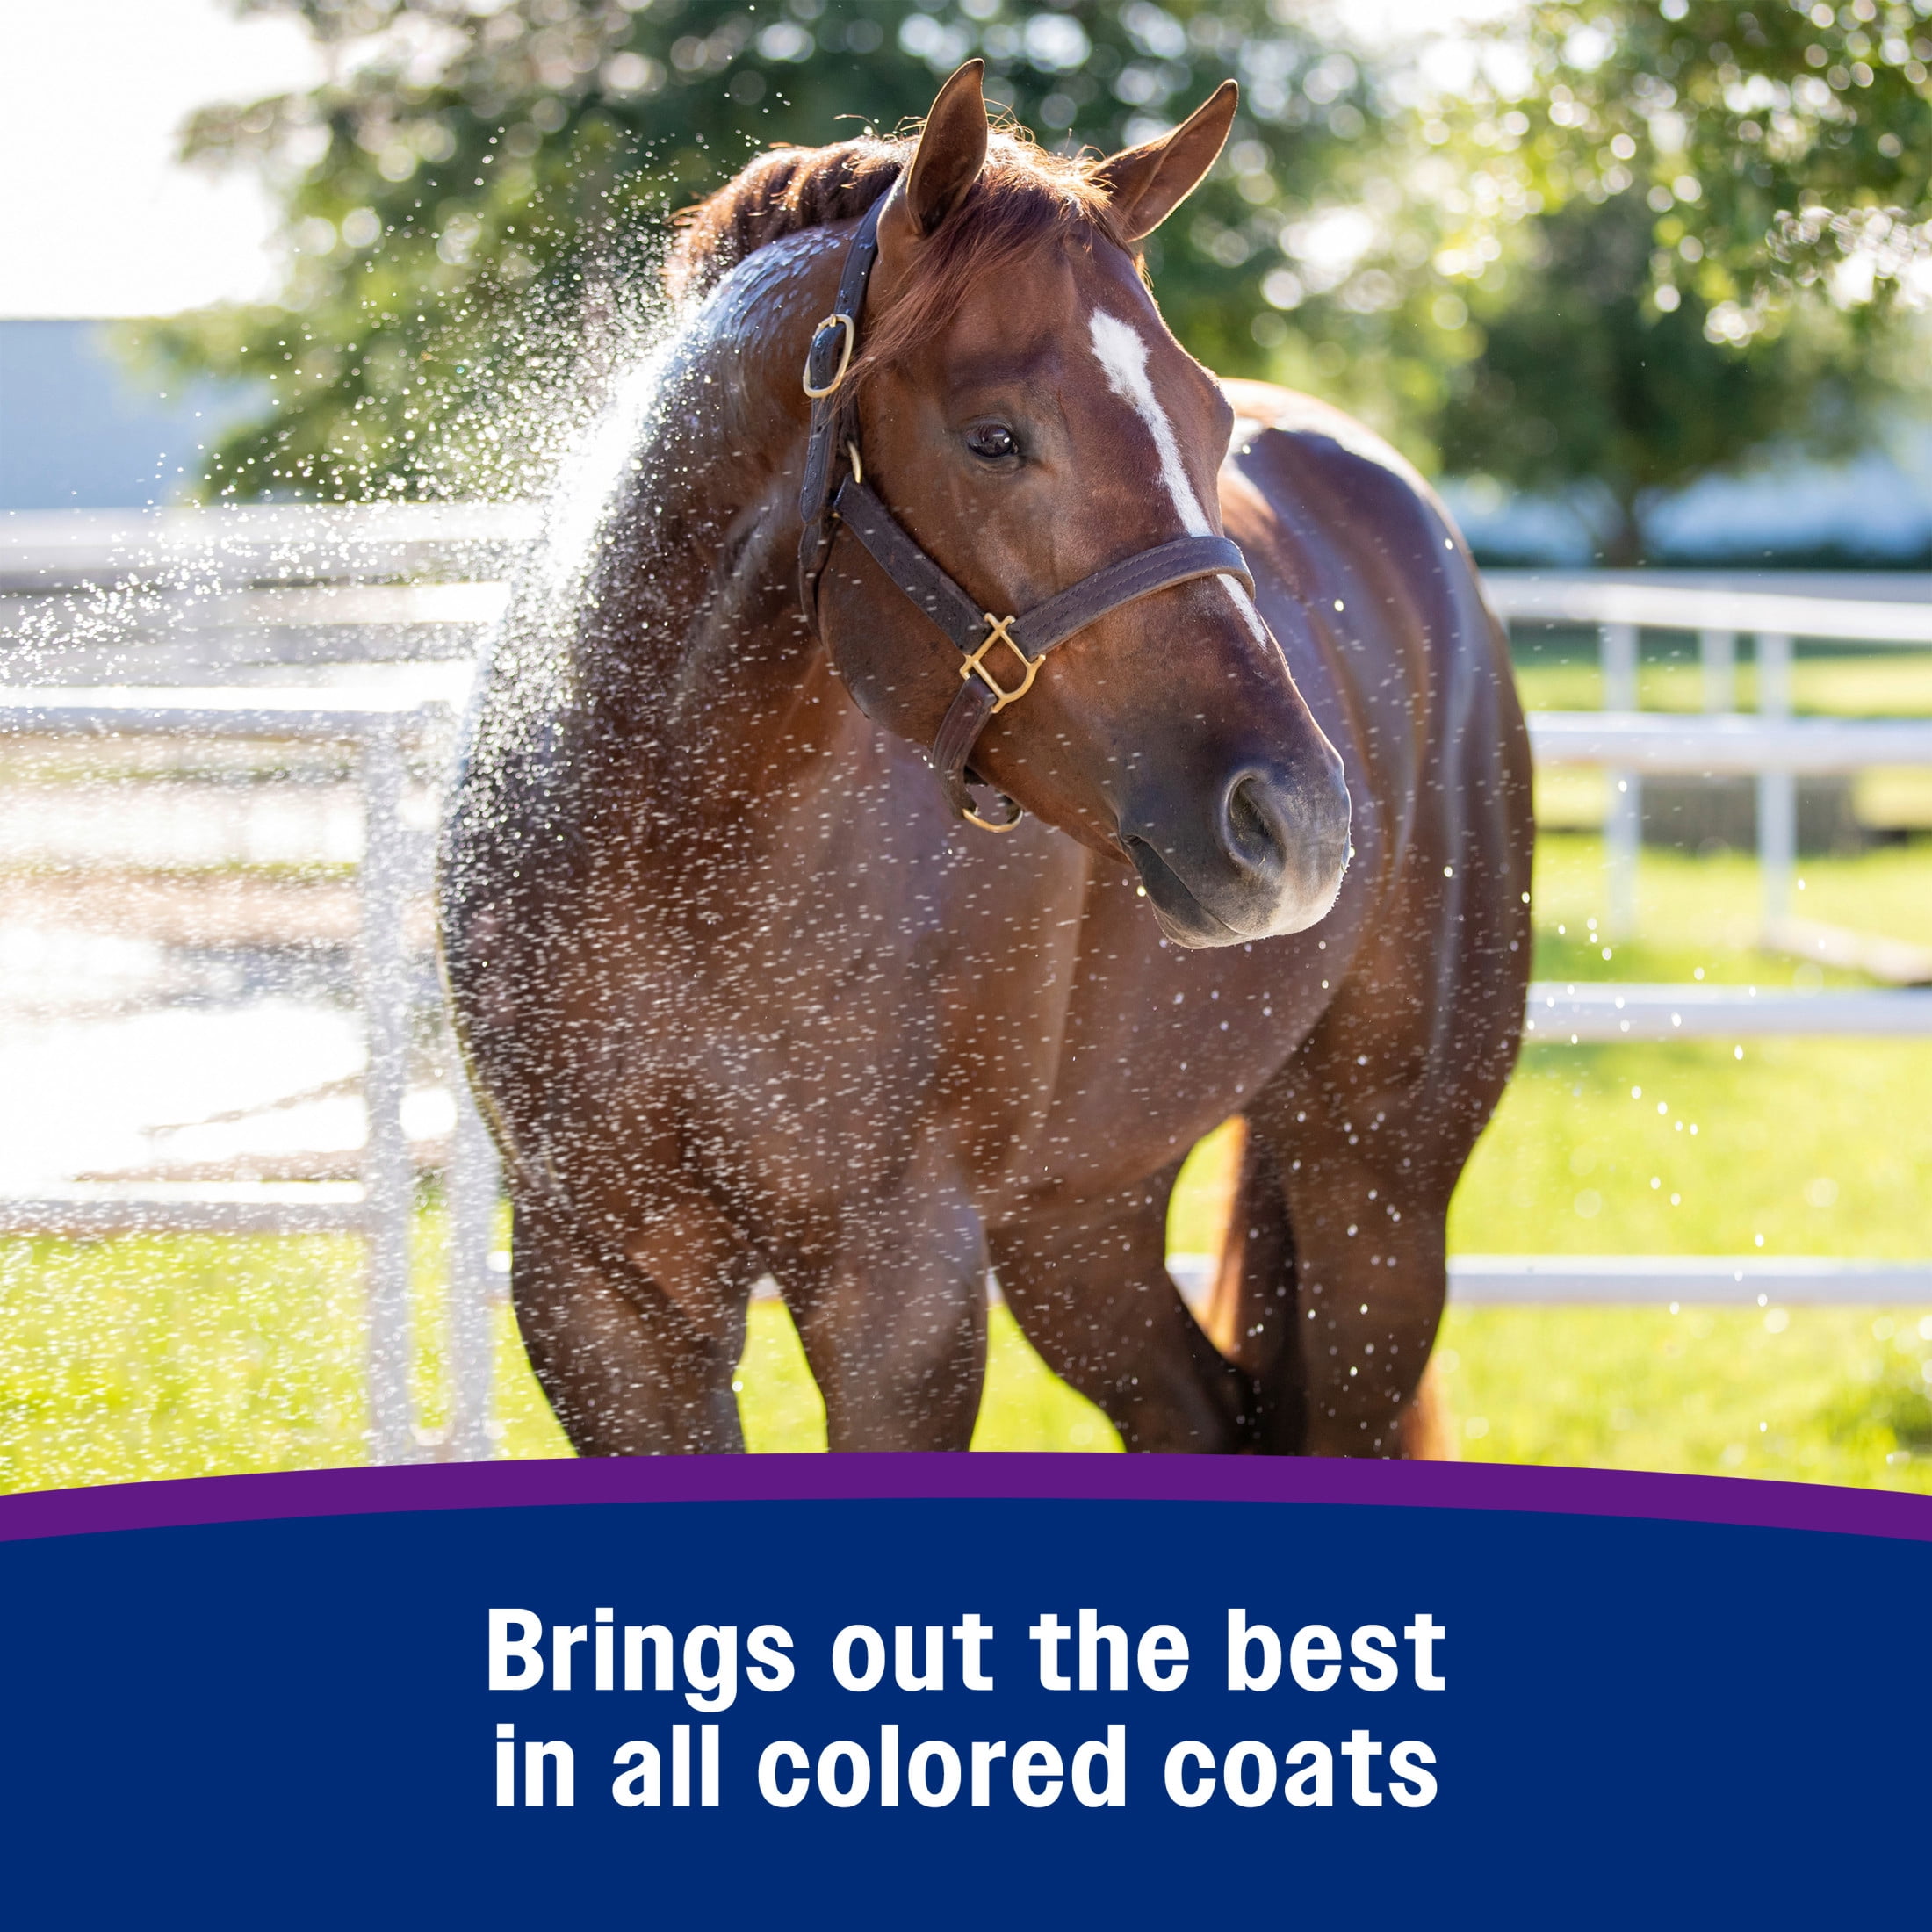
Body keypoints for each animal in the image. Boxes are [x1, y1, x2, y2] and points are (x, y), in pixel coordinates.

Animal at [439, 61, 1532, 1459]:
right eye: (995, 436)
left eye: (1210, 418)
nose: (1296, 823)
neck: (675, 845)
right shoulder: (602, 1294)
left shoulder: (900, 1290)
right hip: (1080, 1219)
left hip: (1376, 1190)